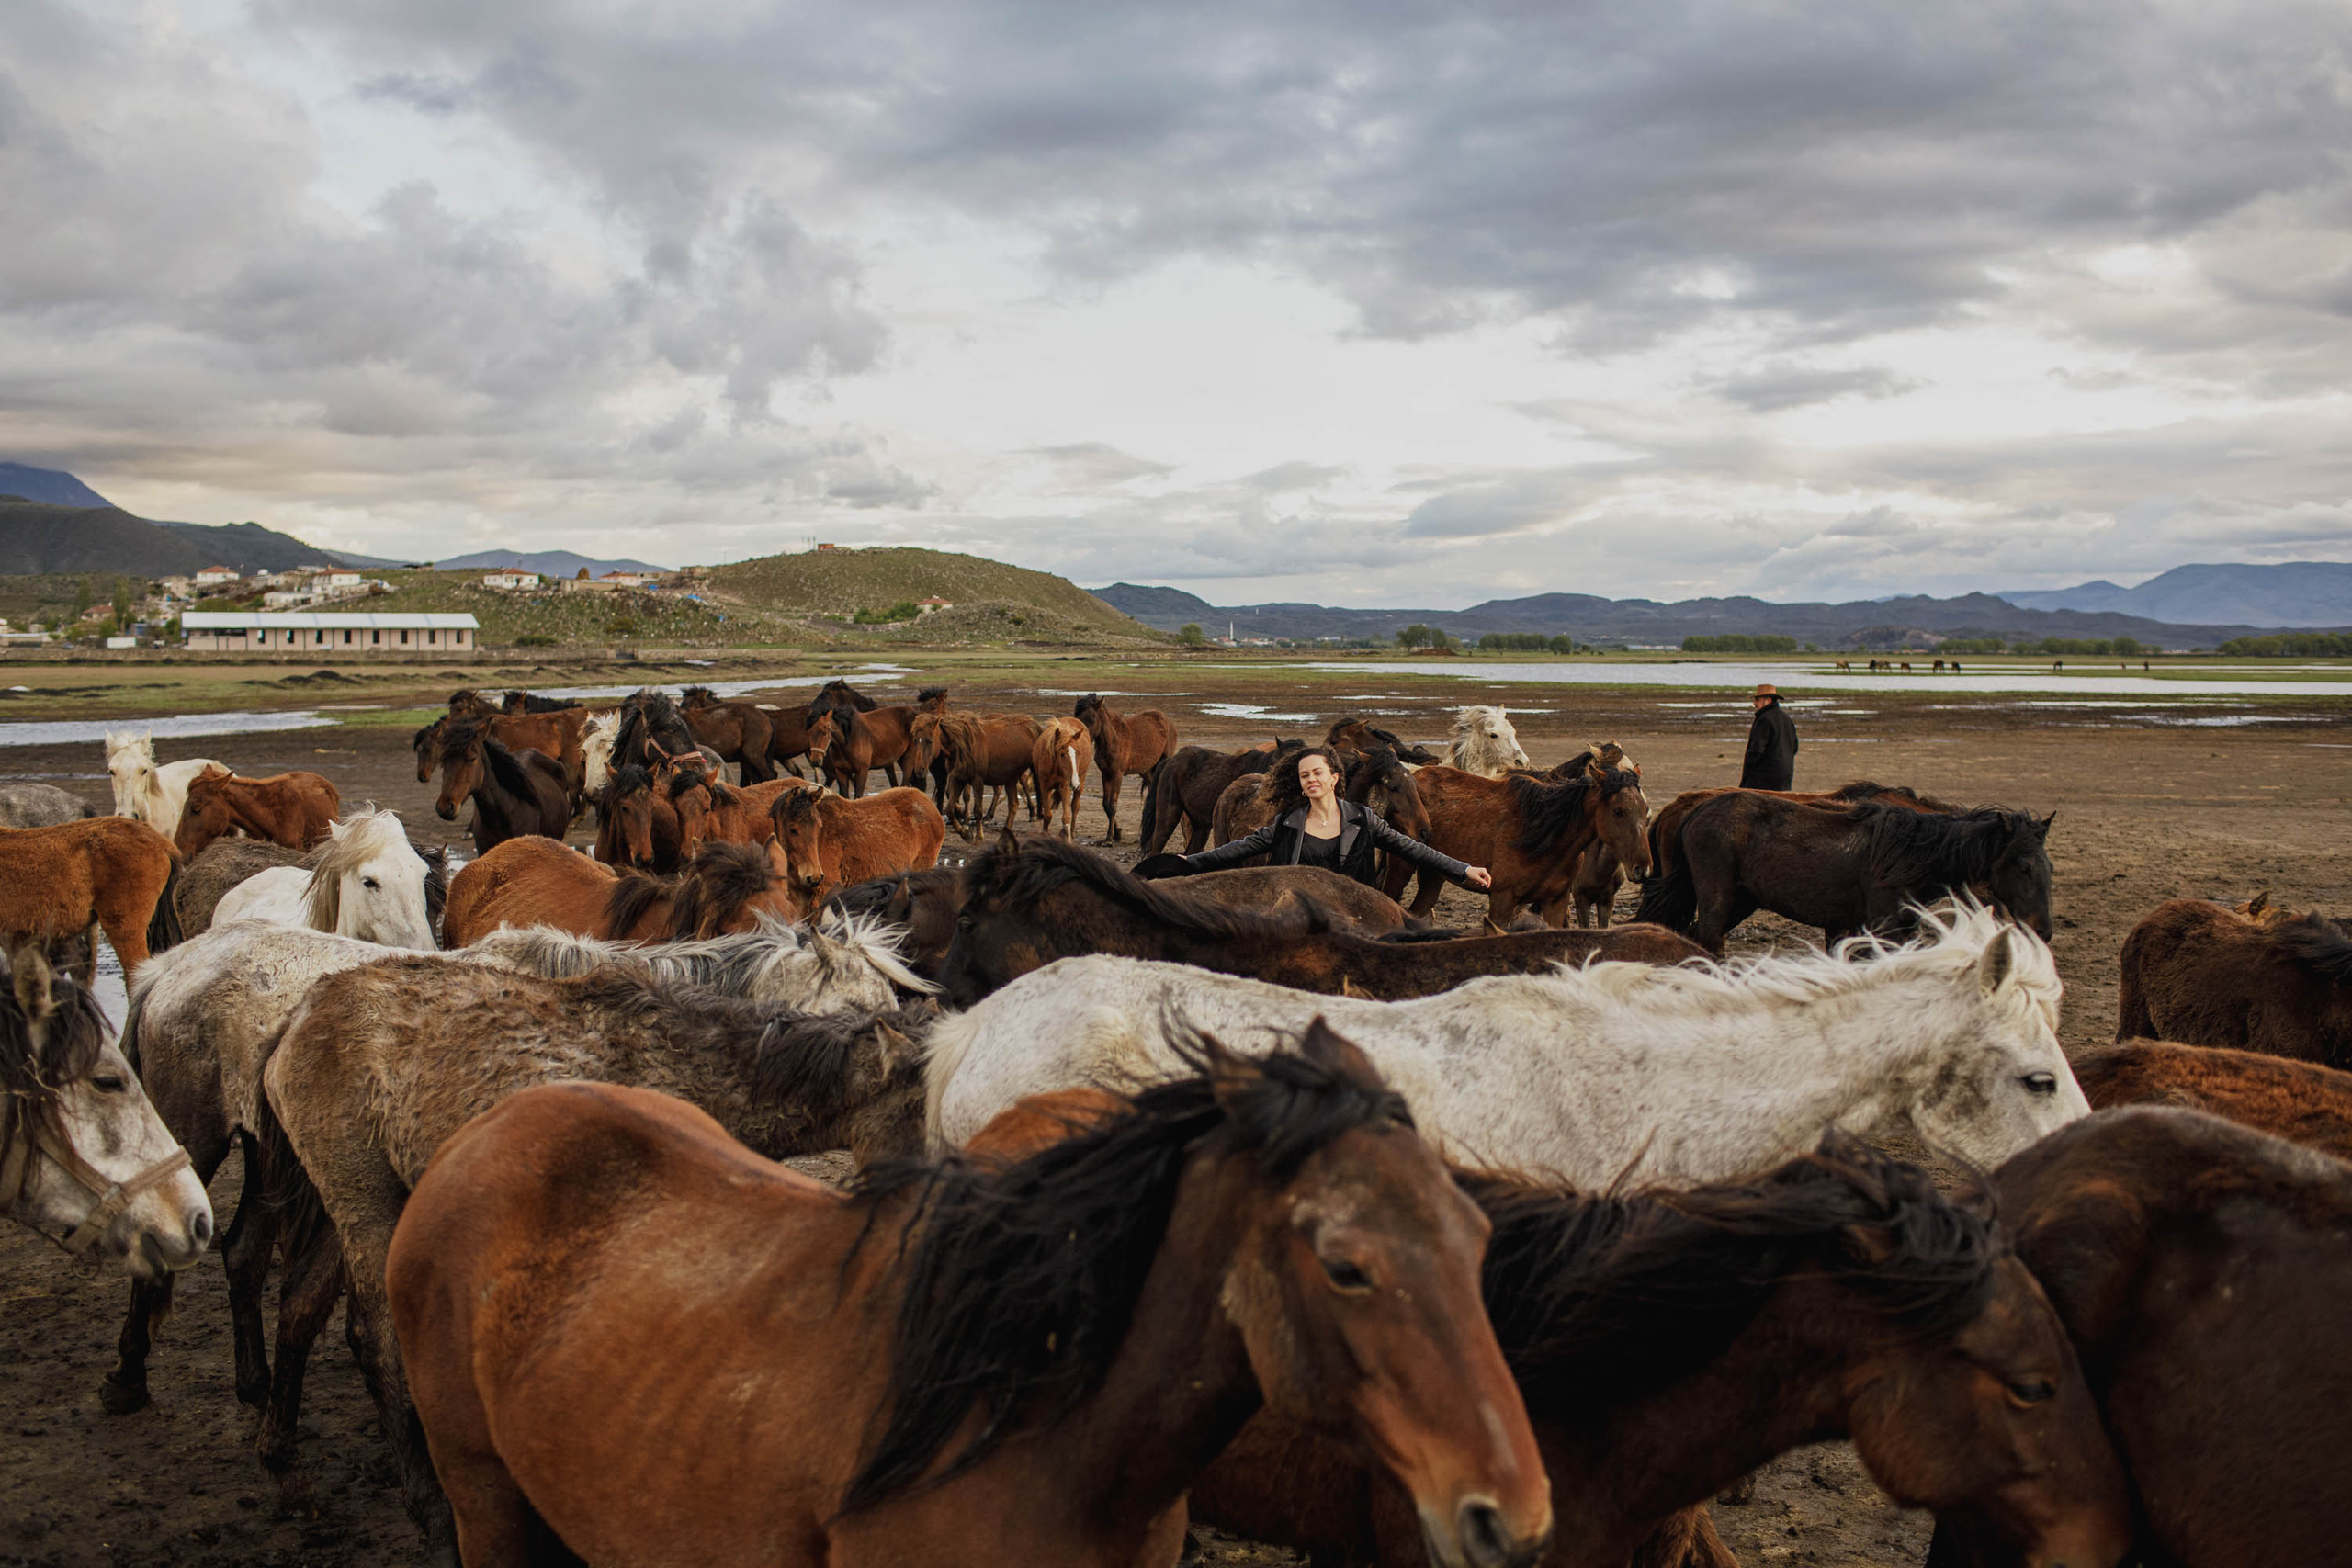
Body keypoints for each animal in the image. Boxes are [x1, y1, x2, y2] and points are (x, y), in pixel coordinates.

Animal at [258, 965, 943, 1547]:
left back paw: (286, 1473)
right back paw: (426, 1507)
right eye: (919, 1110)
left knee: (298, 1310)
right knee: (373, 1340)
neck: (681, 1067)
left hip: (352, 1203)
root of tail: (296, 1017)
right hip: (365, 1202)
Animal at [1030, 716, 1095, 840]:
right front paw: (1045, 833)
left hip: (1081, 780)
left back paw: (1072, 832)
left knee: (1075, 807)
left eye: (1079, 753)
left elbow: (1066, 816)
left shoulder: (1065, 786)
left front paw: (1068, 838)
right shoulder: (1044, 786)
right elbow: (1048, 814)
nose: (1075, 783)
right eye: (1062, 754)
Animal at [1072, 693, 1175, 843]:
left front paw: (1109, 838)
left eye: (1092, 717)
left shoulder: (1117, 775)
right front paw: (1117, 833)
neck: (1112, 740)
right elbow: (1106, 804)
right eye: (1077, 717)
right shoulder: (1106, 774)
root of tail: (1167, 720)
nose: (1081, 740)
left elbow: (1112, 805)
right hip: (1145, 770)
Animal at [1383, 759, 1652, 929]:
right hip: (1401, 867)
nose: (1643, 868)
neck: (1546, 837)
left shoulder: (1556, 902)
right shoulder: (1502, 900)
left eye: (1646, 810)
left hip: (1432, 876)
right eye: (1618, 811)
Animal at [1636, 795, 2053, 956]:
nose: (2043, 930)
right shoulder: (1883, 929)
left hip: (1742, 901)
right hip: (1718, 898)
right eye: (2024, 866)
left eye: (2048, 867)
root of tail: (1698, 810)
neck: (1909, 855)